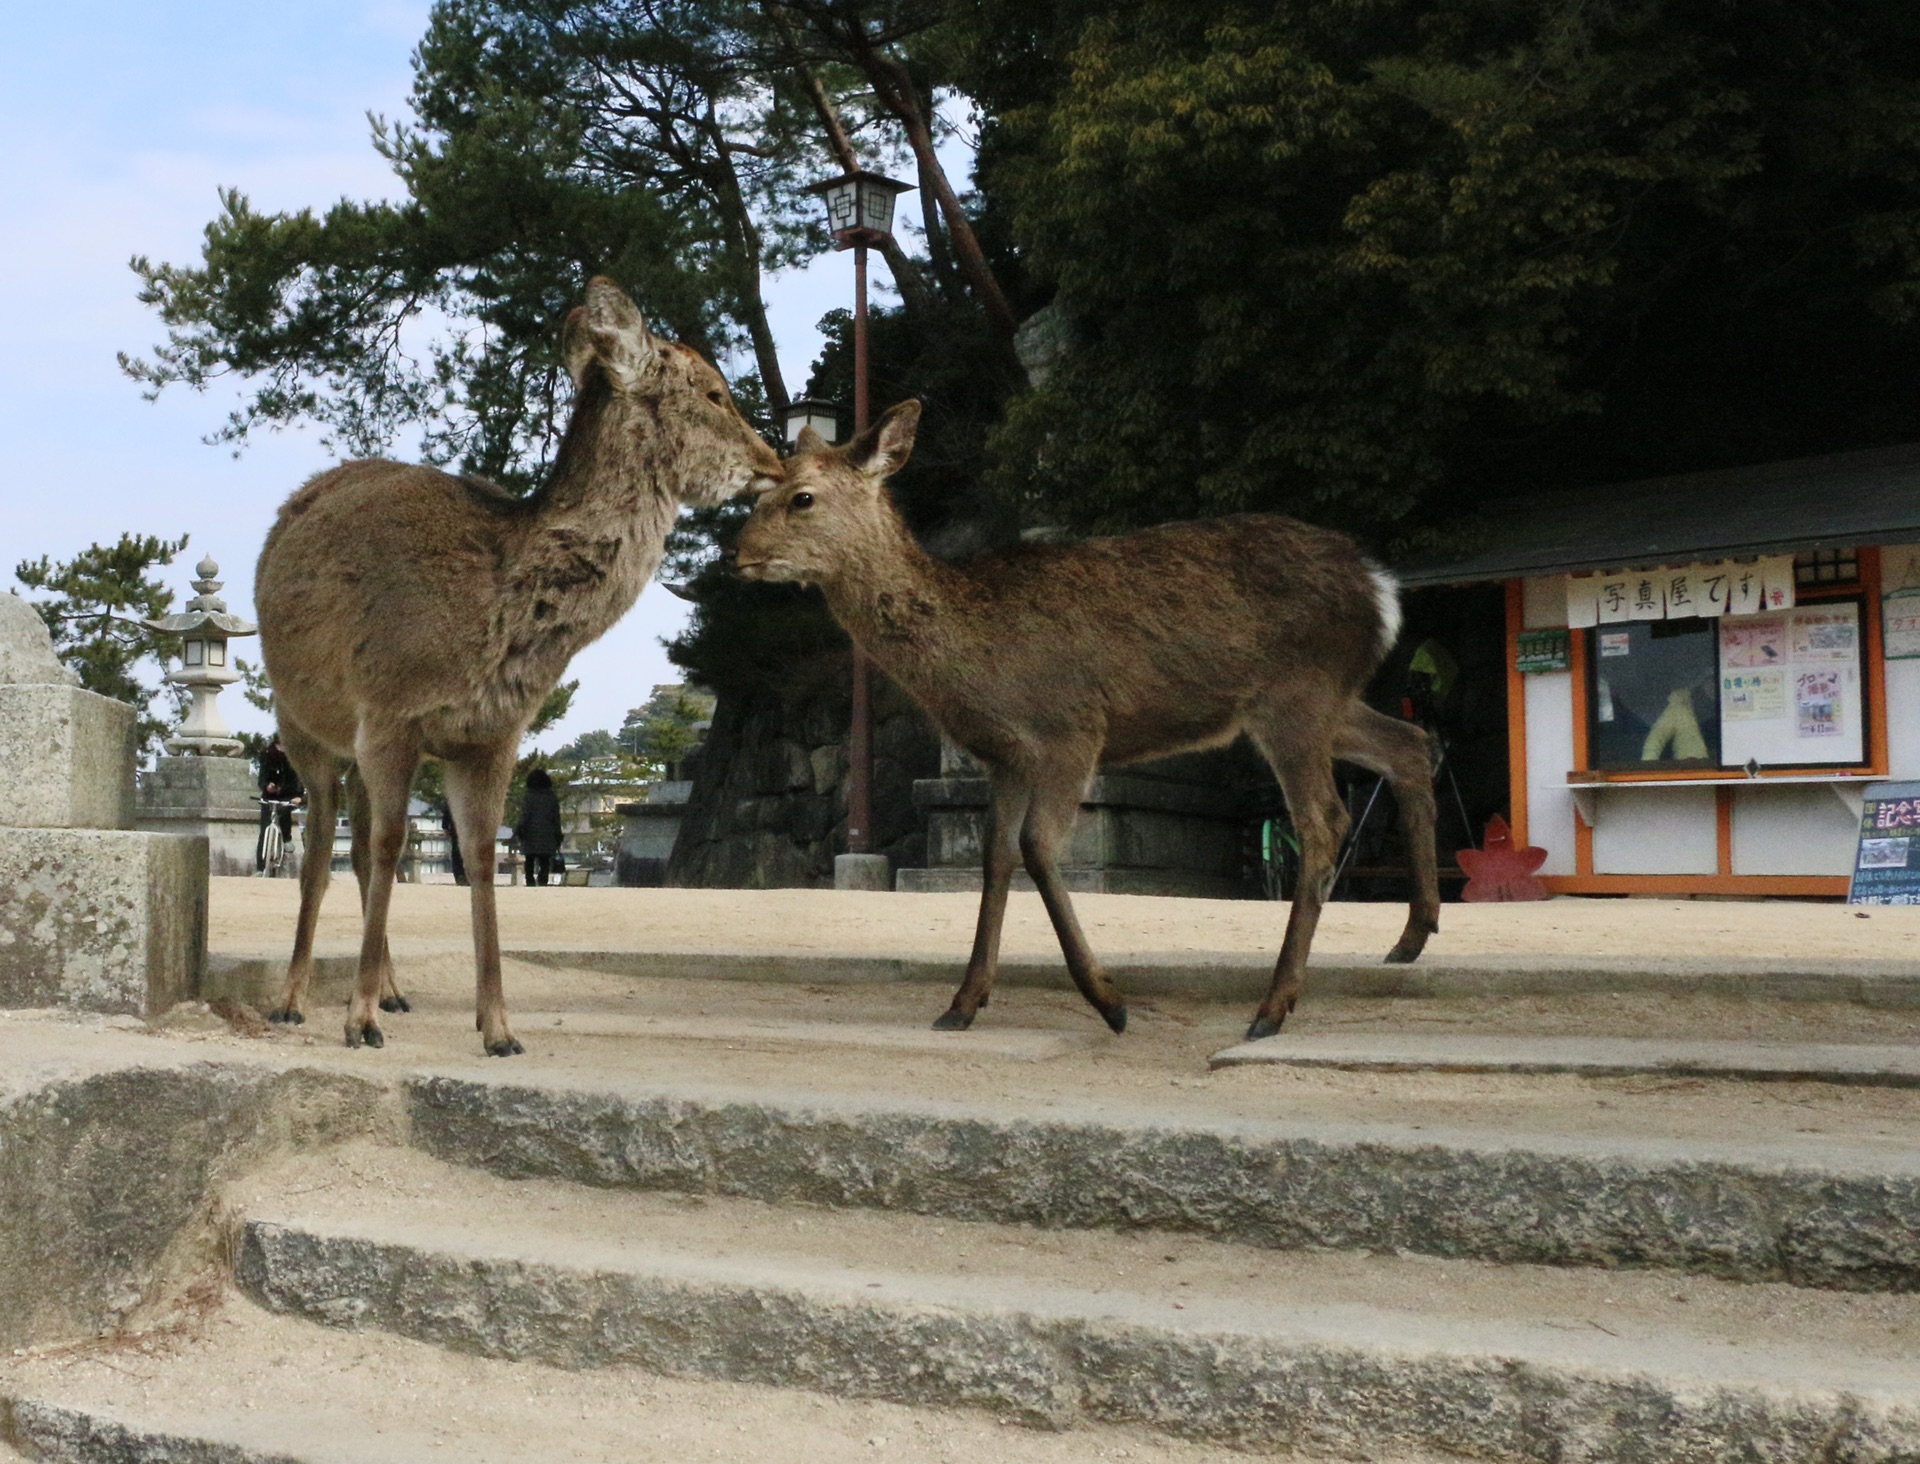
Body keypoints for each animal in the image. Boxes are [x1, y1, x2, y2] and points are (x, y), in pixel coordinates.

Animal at [257, 276, 779, 1052]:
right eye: (716, 392)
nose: (773, 463)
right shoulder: (389, 709)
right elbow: (386, 846)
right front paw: (358, 1020)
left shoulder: (491, 733)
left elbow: (476, 856)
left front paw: (498, 1026)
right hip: (298, 719)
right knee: (322, 844)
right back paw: (295, 998)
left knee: (361, 829)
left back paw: (394, 991)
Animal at [733, 399, 1443, 1037]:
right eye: (757, 494)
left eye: (801, 497)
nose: (737, 554)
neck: (973, 664)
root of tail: (1381, 590)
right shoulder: (1006, 759)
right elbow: (995, 858)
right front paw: (963, 1003)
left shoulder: (1068, 731)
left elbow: (1038, 848)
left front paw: (1110, 1002)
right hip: (1327, 701)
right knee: (1411, 742)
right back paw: (1411, 937)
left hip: (1295, 697)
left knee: (1326, 822)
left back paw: (1272, 1008)